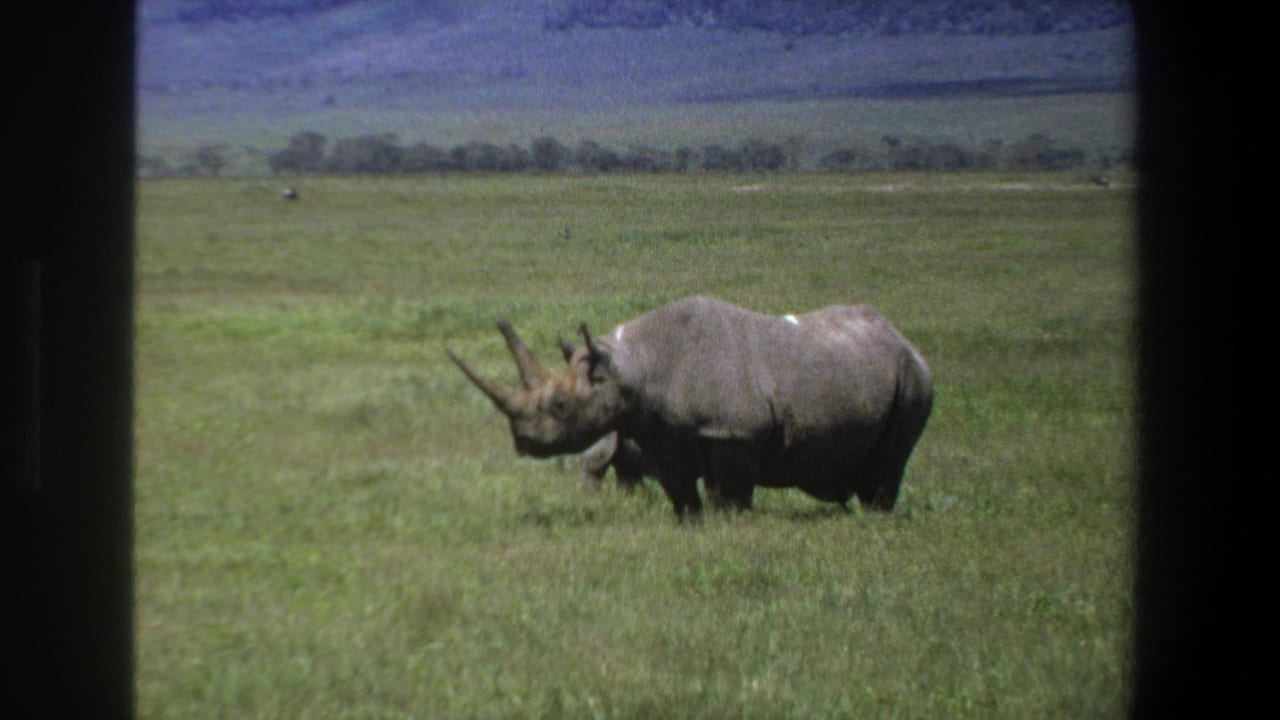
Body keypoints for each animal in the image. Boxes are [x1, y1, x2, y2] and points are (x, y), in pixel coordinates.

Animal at [447, 296, 933, 517]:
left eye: (563, 406)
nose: (523, 442)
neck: (632, 367)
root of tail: (900, 335)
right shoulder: (658, 433)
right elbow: (680, 491)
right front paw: (691, 523)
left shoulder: (735, 432)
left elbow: (731, 495)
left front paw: (731, 524)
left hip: (913, 378)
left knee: (891, 461)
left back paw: (875, 517)